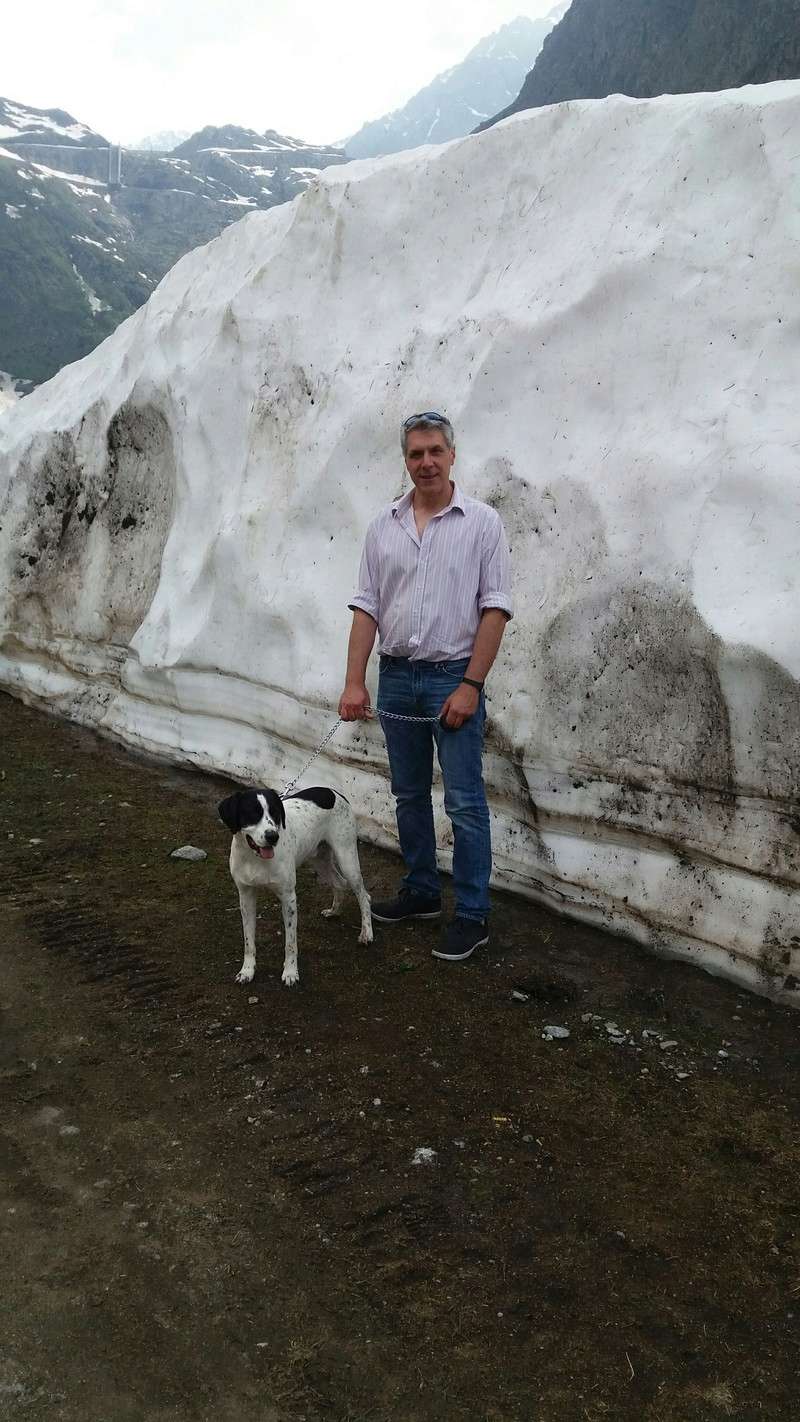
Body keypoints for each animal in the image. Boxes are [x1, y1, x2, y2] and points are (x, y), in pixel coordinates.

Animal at [215, 779, 372, 989]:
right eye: (251, 813)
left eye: (275, 813)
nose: (273, 836)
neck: (254, 857)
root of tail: (334, 792)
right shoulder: (246, 896)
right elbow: (249, 941)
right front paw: (247, 971)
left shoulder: (288, 898)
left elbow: (290, 942)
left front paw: (290, 973)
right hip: (319, 860)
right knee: (339, 883)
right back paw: (334, 911)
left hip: (347, 857)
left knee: (363, 895)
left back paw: (366, 933)